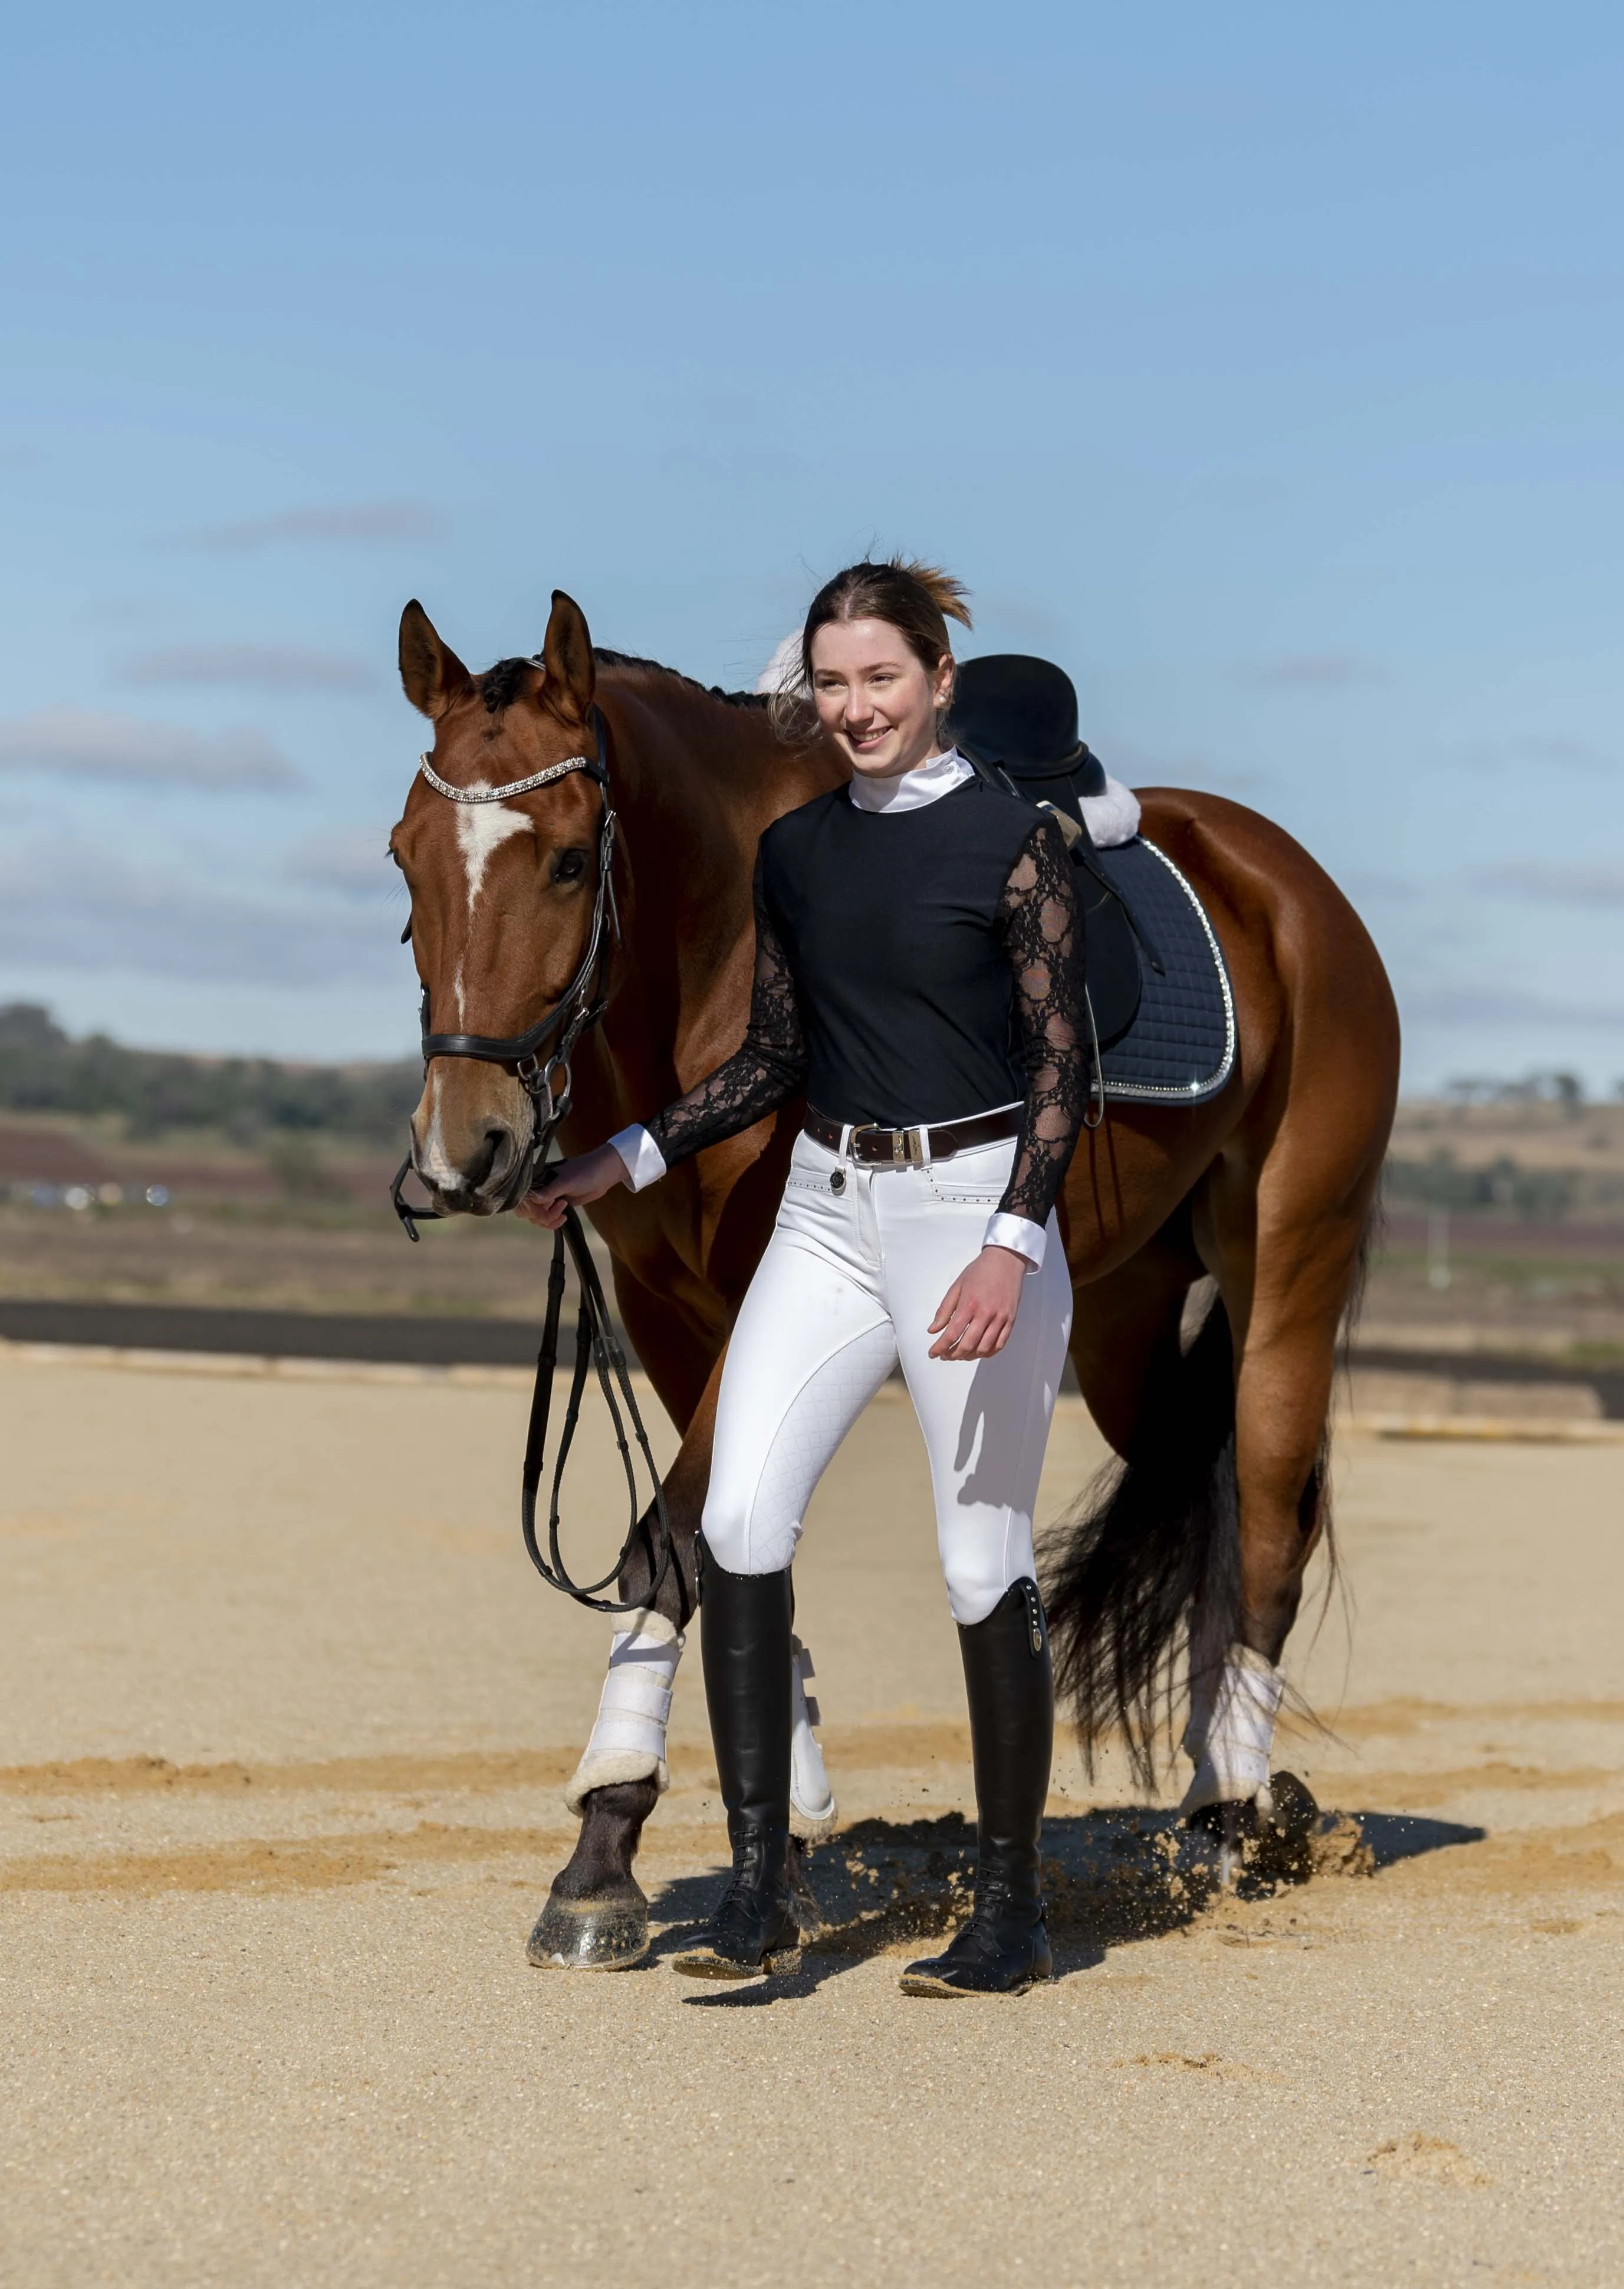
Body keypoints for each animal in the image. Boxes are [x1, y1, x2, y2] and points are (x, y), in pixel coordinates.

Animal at [391, 581, 1399, 1959]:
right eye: (405, 855)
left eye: (563, 858)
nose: (466, 1148)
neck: (716, 952)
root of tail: (1292, 887)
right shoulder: (673, 1315)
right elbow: (736, 1537)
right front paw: (785, 1824)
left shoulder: (758, 1307)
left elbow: (670, 1546)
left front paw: (602, 1848)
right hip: (1124, 1320)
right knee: (1202, 1490)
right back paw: (1213, 1790)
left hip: (1290, 1264)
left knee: (1269, 1508)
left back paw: (1240, 1815)